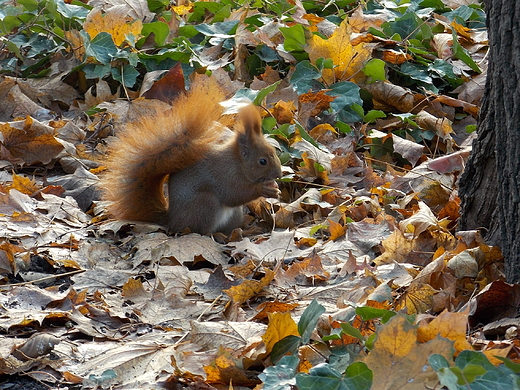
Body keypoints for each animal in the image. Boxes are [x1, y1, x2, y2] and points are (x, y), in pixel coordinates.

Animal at [100, 77, 282, 233]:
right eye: (262, 161)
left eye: (274, 151)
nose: (279, 175)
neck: (237, 162)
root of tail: (173, 220)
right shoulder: (225, 175)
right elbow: (234, 194)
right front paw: (264, 189)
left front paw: (274, 189)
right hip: (205, 205)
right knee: (204, 231)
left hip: (233, 214)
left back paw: (245, 230)